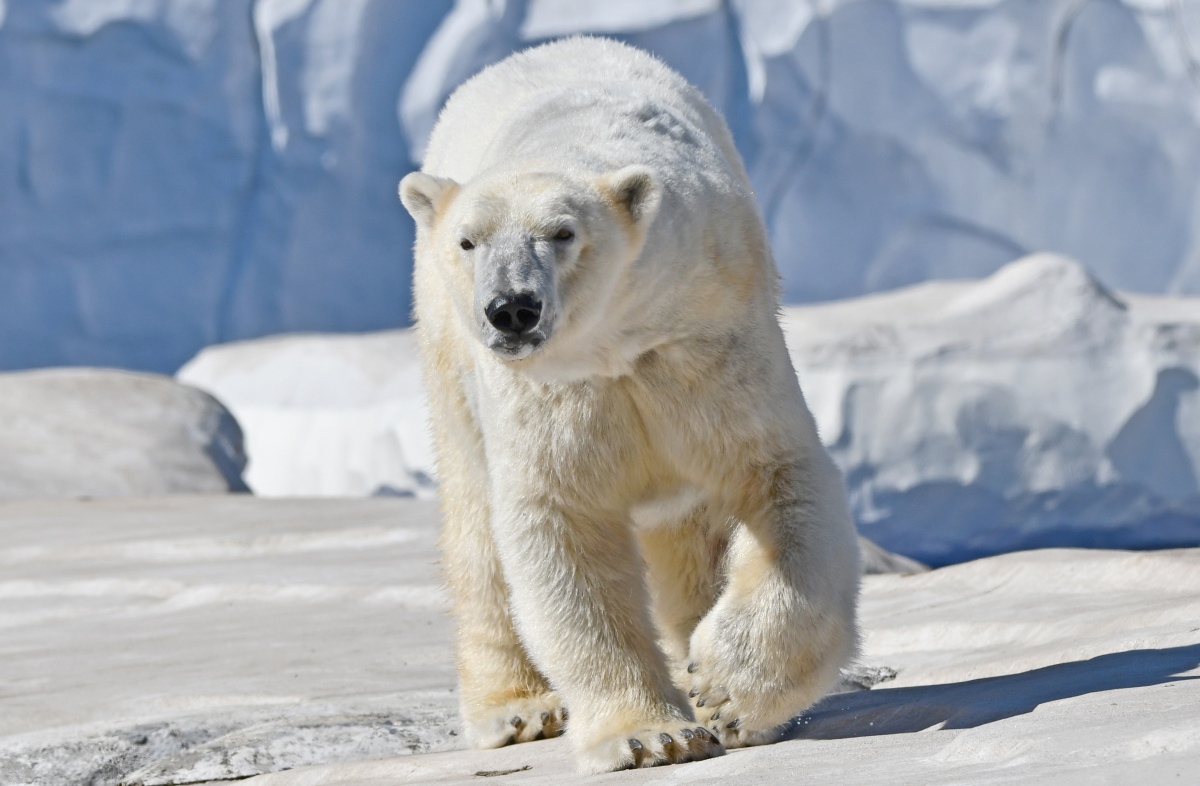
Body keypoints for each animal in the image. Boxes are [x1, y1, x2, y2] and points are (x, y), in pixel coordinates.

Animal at [403, 36, 864, 772]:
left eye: (562, 233)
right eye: (467, 242)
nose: (512, 309)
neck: (616, 345)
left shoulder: (705, 346)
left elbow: (778, 481)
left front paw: (724, 694)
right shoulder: (552, 395)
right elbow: (562, 527)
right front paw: (650, 735)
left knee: (690, 537)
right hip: (450, 362)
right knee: (477, 524)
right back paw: (519, 710)